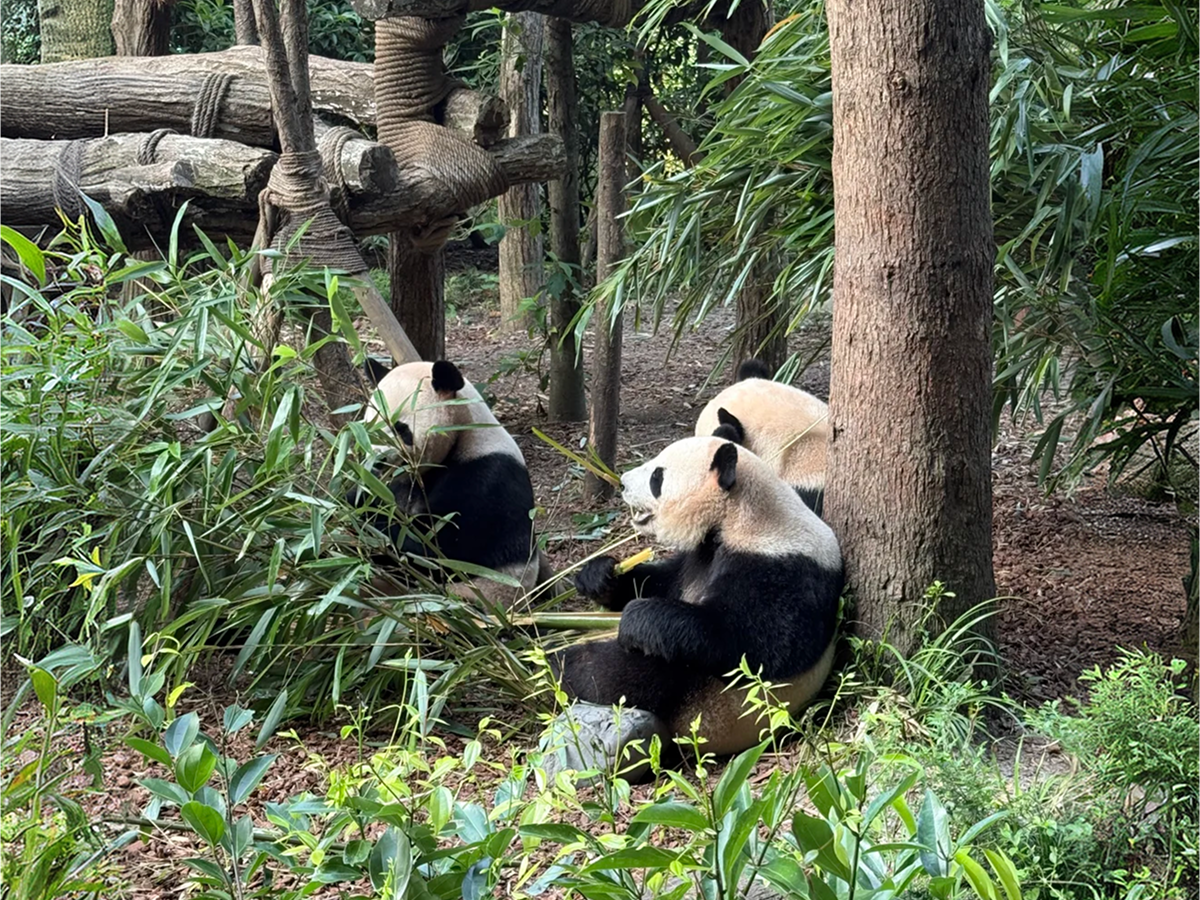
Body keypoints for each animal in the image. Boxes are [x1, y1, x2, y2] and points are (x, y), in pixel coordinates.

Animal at [353, 358, 551, 608]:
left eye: (400, 428)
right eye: (370, 428)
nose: (378, 460)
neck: (466, 432)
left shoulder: (487, 475)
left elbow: (441, 549)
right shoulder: (399, 483)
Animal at [554, 435, 843, 755]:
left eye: (657, 477)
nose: (623, 483)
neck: (738, 516)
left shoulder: (783, 568)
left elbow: (755, 644)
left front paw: (637, 619)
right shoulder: (698, 556)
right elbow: (662, 581)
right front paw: (600, 576)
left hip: (706, 706)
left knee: (628, 672)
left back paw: (562, 667)